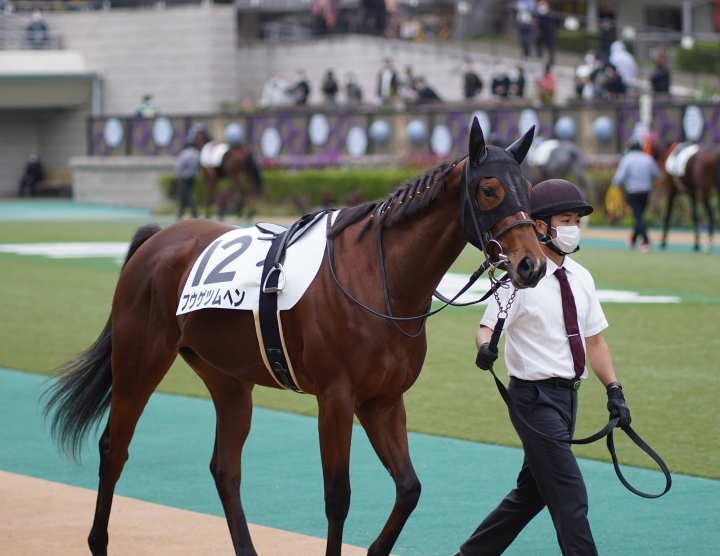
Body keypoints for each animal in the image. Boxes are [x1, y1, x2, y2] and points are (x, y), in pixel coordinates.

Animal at [43, 120, 546, 556]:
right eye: (489, 189)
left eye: (528, 189)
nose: (532, 265)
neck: (378, 278)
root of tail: (157, 239)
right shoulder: (336, 398)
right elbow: (338, 497)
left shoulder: (383, 401)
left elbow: (409, 489)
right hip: (139, 363)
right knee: (114, 448)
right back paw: (98, 542)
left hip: (228, 379)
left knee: (225, 468)